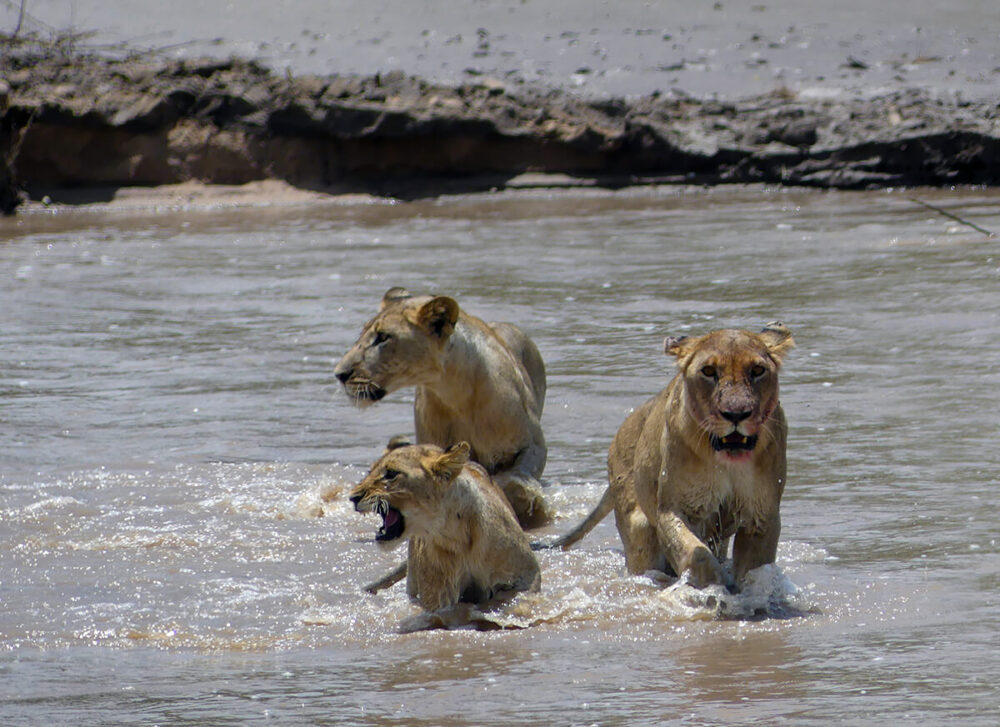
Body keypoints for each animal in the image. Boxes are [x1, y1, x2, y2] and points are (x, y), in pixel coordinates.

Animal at [334, 287, 550, 529]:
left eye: (383, 337)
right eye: (362, 335)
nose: (340, 374)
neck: (454, 391)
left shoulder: (533, 445)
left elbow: (518, 475)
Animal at [350, 442, 542, 611]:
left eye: (390, 474)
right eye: (370, 471)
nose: (352, 497)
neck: (455, 535)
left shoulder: (526, 576)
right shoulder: (438, 593)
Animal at [549, 323, 795, 591]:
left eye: (758, 370)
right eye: (708, 371)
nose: (736, 415)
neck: (725, 462)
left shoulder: (761, 517)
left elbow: (753, 570)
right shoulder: (672, 509)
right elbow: (697, 555)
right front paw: (712, 588)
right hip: (639, 528)